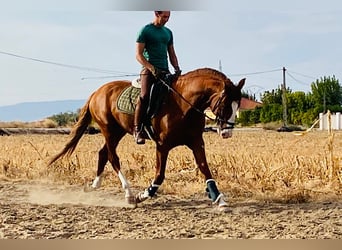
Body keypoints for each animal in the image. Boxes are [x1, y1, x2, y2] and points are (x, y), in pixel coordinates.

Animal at [49, 67, 244, 210]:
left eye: (238, 105)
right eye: (225, 105)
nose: (227, 133)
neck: (184, 104)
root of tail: (97, 92)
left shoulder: (196, 142)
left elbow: (205, 169)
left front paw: (219, 199)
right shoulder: (162, 145)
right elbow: (159, 175)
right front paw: (142, 196)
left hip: (118, 131)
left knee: (103, 153)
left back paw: (95, 185)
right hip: (109, 130)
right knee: (112, 157)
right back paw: (129, 195)